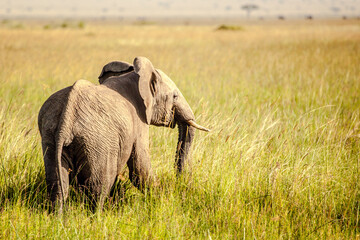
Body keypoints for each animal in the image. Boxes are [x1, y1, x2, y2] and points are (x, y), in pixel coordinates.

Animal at [38, 56, 210, 212]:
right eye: (175, 96)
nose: (180, 185)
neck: (135, 77)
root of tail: (67, 119)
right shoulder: (139, 120)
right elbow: (140, 168)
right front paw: (162, 200)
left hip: (50, 138)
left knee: (57, 185)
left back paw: (58, 218)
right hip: (97, 143)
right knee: (99, 186)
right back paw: (97, 218)